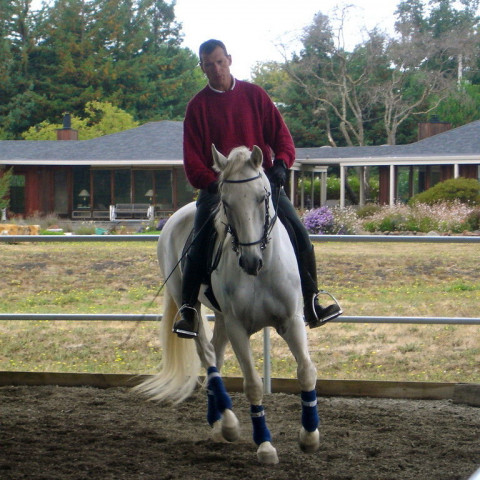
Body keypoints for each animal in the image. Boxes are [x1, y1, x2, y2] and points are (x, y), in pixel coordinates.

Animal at [139, 144, 318, 464]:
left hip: (221, 316)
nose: (250, 261)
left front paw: (309, 437)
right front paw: (265, 445)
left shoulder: (292, 321)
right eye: (226, 202)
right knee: (208, 356)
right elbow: (253, 385)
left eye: (263, 196)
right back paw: (229, 425)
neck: (262, 272)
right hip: (191, 308)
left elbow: (306, 371)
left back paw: (218, 421)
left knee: (217, 354)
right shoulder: (238, 329)